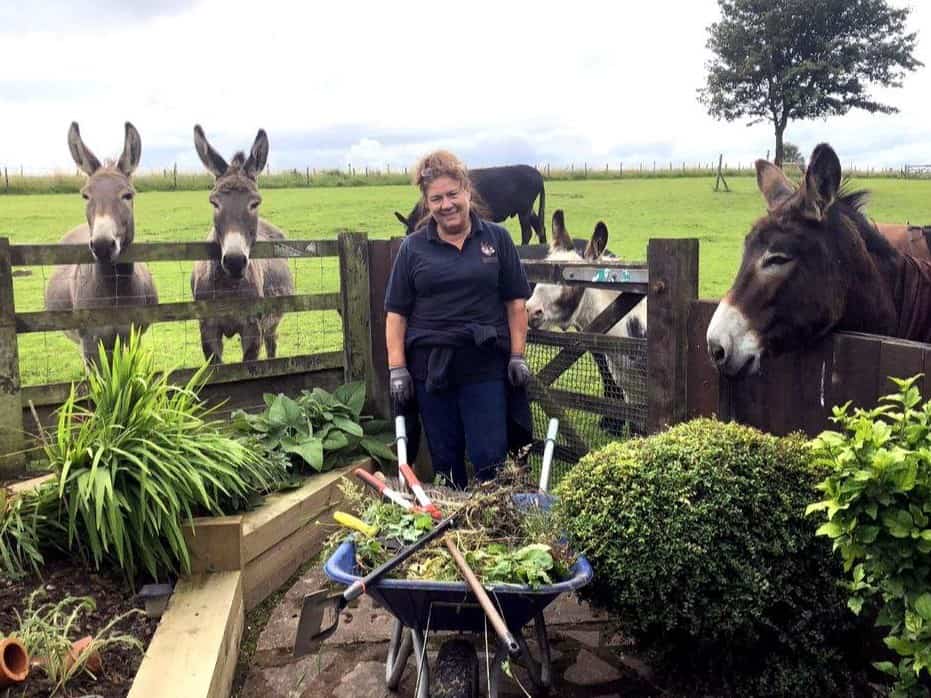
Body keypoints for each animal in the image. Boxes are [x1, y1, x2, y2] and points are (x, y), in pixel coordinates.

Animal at [394, 162, 548, 243]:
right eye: (406, 233)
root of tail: (538, 175)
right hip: (528, 209)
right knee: (540, 227)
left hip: (524, 209)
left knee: (527, 232)